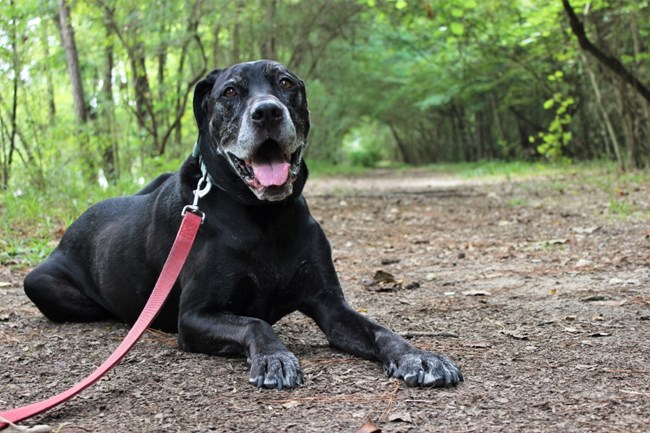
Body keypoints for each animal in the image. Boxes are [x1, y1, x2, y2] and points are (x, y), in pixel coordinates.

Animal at [25, 60, 460, 388]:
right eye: (230, 92)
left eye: (286, 84)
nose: (267, 111)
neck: (263, 216)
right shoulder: (195, 316)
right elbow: (254, 323)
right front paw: (274, 357)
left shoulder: (331, 305)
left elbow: (380, 330)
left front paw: (418, 356)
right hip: (42, 284)